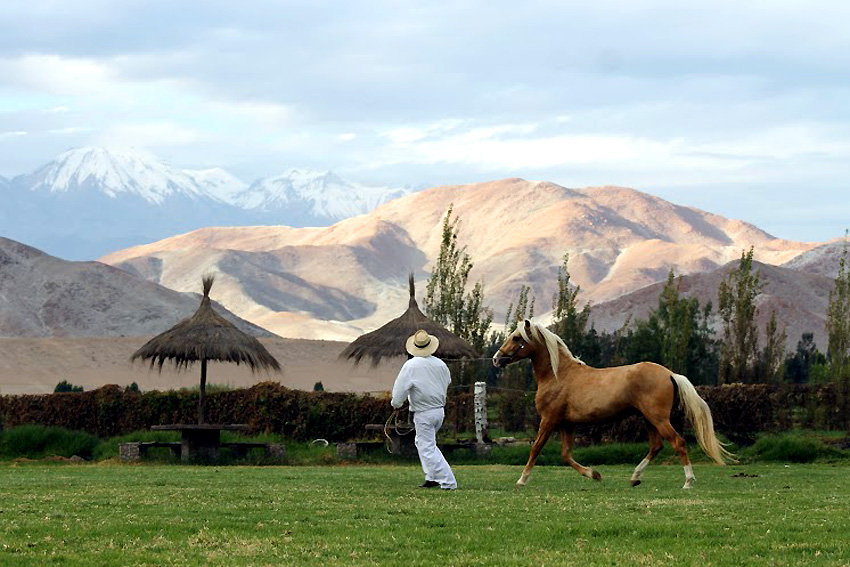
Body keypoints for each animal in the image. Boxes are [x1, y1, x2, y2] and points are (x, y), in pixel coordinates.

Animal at [494, 322, 732, 490]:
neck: (558, 375)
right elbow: (566, 455)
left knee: (678, 443)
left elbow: (536, 449)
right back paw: (635, 478)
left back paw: (688, 481)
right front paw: (594, 474)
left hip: (658, 418)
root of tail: (670, 374)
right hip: (649, 419)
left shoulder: (549, 420)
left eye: (516, 337)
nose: (497, 359)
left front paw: (521, 480)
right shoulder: (567, 424)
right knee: (656, 446)